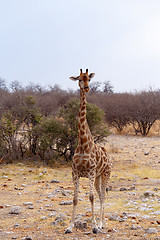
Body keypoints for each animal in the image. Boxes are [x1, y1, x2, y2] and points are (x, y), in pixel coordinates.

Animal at [65, 68, 111, 233]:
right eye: (79, 79)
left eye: (89, 79)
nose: (86, 88)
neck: (83, 143)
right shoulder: (75, 172)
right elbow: (74, 198)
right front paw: (70, 226)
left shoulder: (90, 172)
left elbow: (91, 197)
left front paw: (95, 226)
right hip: (97, 177)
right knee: (100, 194)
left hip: (105, 174)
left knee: (102, 195)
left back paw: (102, 223)